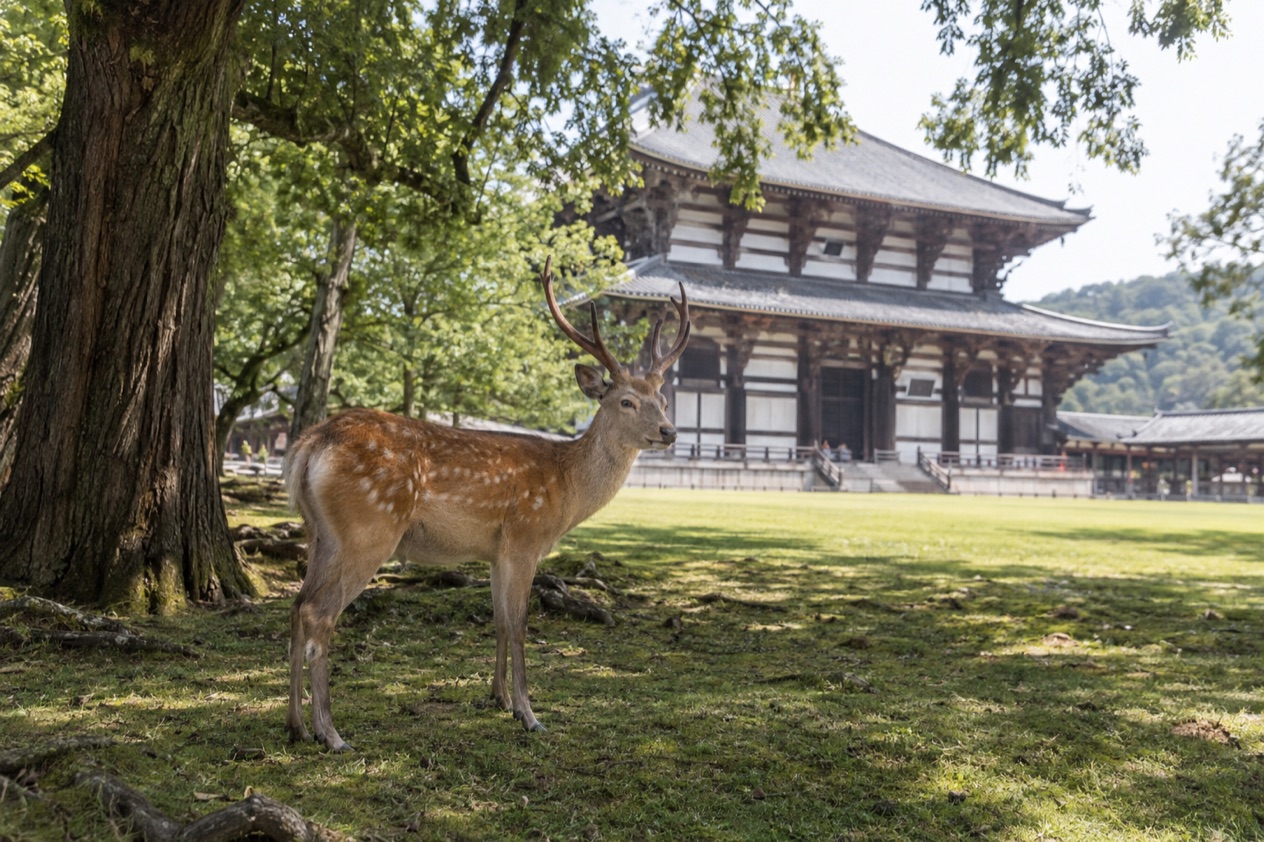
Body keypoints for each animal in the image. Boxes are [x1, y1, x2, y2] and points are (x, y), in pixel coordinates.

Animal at [281, 257, 690, 750]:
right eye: (627, 401)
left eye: (663, 399)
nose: (669, 431)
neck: (566, 489)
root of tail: (310, 444)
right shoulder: (525, 538)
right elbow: (520, 625)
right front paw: (530, 714)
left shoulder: (495, 551)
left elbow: (497, 622)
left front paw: (498, 699)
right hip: (367, 530)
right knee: (319, 614)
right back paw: (331, 733)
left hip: (320, 533)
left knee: (297, 605)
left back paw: (296, 725)